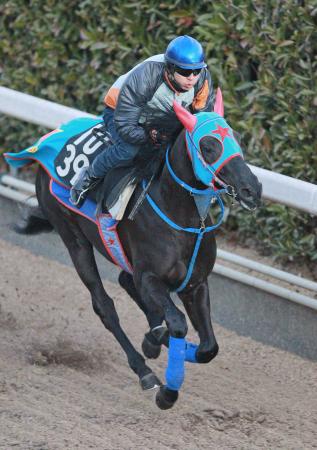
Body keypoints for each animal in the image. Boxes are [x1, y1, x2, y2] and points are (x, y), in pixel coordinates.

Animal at [16, 101, 260, 408]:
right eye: (207, 146)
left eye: (237, 138)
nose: (252, 189)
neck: (180, 217)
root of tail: (46, 141)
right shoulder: (150, 277)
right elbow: (177, 322)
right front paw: (167, 391)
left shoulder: (196, 284)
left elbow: (209, 348)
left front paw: (158, 340)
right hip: (73, 238)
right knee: (105, 306)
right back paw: (144, 369)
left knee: (126, 281)